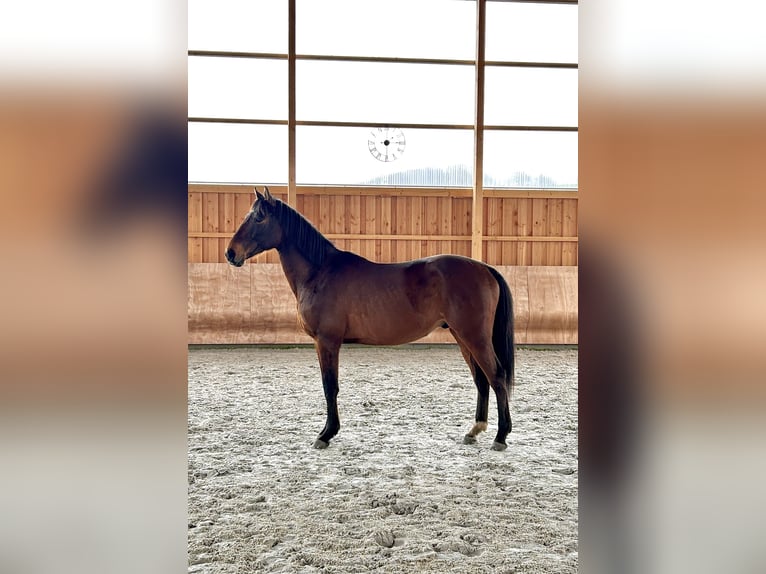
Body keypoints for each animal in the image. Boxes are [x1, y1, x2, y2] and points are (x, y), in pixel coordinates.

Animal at [225, 187, 515, 451]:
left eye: (259, 218)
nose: (231, 253)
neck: (320, 272)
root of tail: (484, 268)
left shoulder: (326, 341)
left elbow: (330, 386)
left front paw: (326, 434)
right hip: (462, 336)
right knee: (481, 380)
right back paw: (474, 430)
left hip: (474, 337)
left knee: (496, 377)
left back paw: (500, 437)